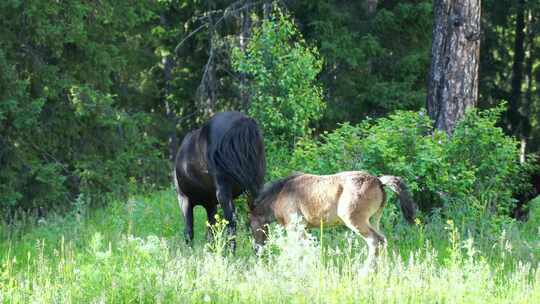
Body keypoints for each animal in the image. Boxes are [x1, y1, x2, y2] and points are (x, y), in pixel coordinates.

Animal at [174, 111, 264, 245]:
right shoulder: (210, 205)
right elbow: (212, 230)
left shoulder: (184, 200)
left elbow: (189, 231)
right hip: (255, 186)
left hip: (223, 193)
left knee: (231, 221)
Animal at [249, 172, 418, 270]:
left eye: (250, 226)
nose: (257, 251)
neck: (281, 194)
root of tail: (378, 181)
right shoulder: (304, 228)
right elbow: (307, 247)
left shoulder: (294, 226)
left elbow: (296, 248)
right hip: (374, 219)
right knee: (383, 240)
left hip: (355, 221)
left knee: (375, 241)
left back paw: (365, 272)